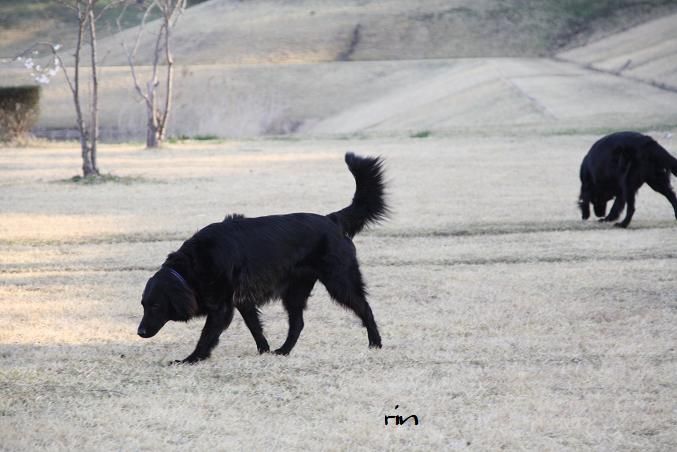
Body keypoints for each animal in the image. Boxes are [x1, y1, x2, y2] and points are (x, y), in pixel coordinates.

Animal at [137, 153, 388, 363]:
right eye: (143, 304)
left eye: (156, 305)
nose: (139, 332)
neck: (191, 266)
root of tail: (333, 219)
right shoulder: (242, 300)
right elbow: (255, 327)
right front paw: (264, 350)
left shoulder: (222, 307)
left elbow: (207, 336)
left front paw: (191, 359)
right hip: (295, 291)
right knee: (298, 323)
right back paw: (284, 350)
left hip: (339, 282)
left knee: (365, 307)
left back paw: (375, 343)